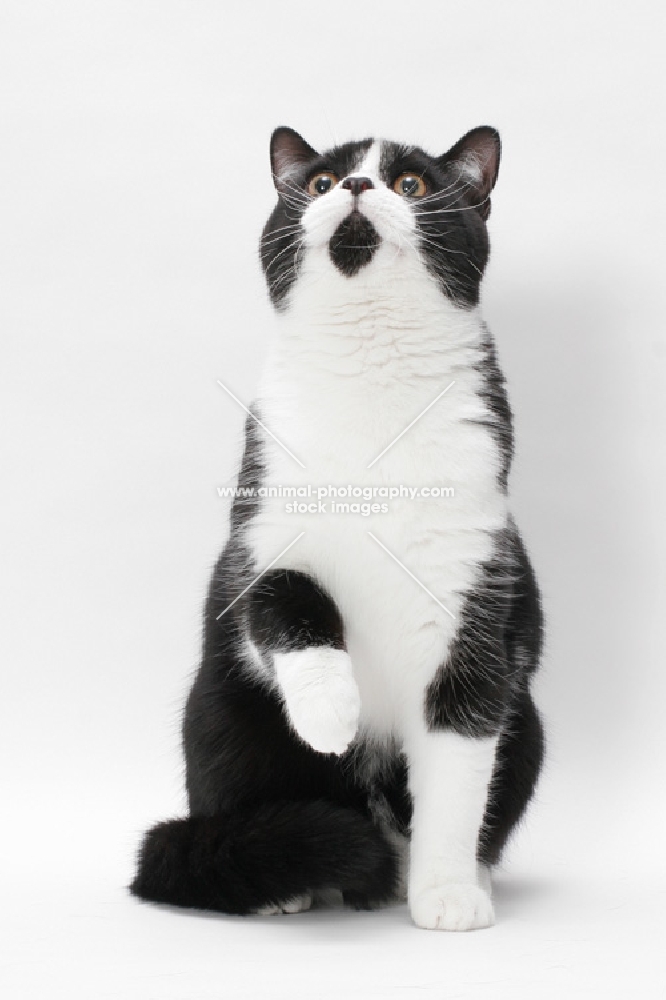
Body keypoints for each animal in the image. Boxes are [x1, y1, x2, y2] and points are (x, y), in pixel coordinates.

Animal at [128, 123, 540, 928]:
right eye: (318, 183)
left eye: (412, 184)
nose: (354, 186)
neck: (372, 378)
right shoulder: (257, 534)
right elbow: (284, 602)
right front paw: (330, 713)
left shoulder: (476, 588)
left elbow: (459, 767)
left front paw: (446, 894)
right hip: (217, 713)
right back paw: (284, 887)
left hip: (530, 722)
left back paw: (451, 877)